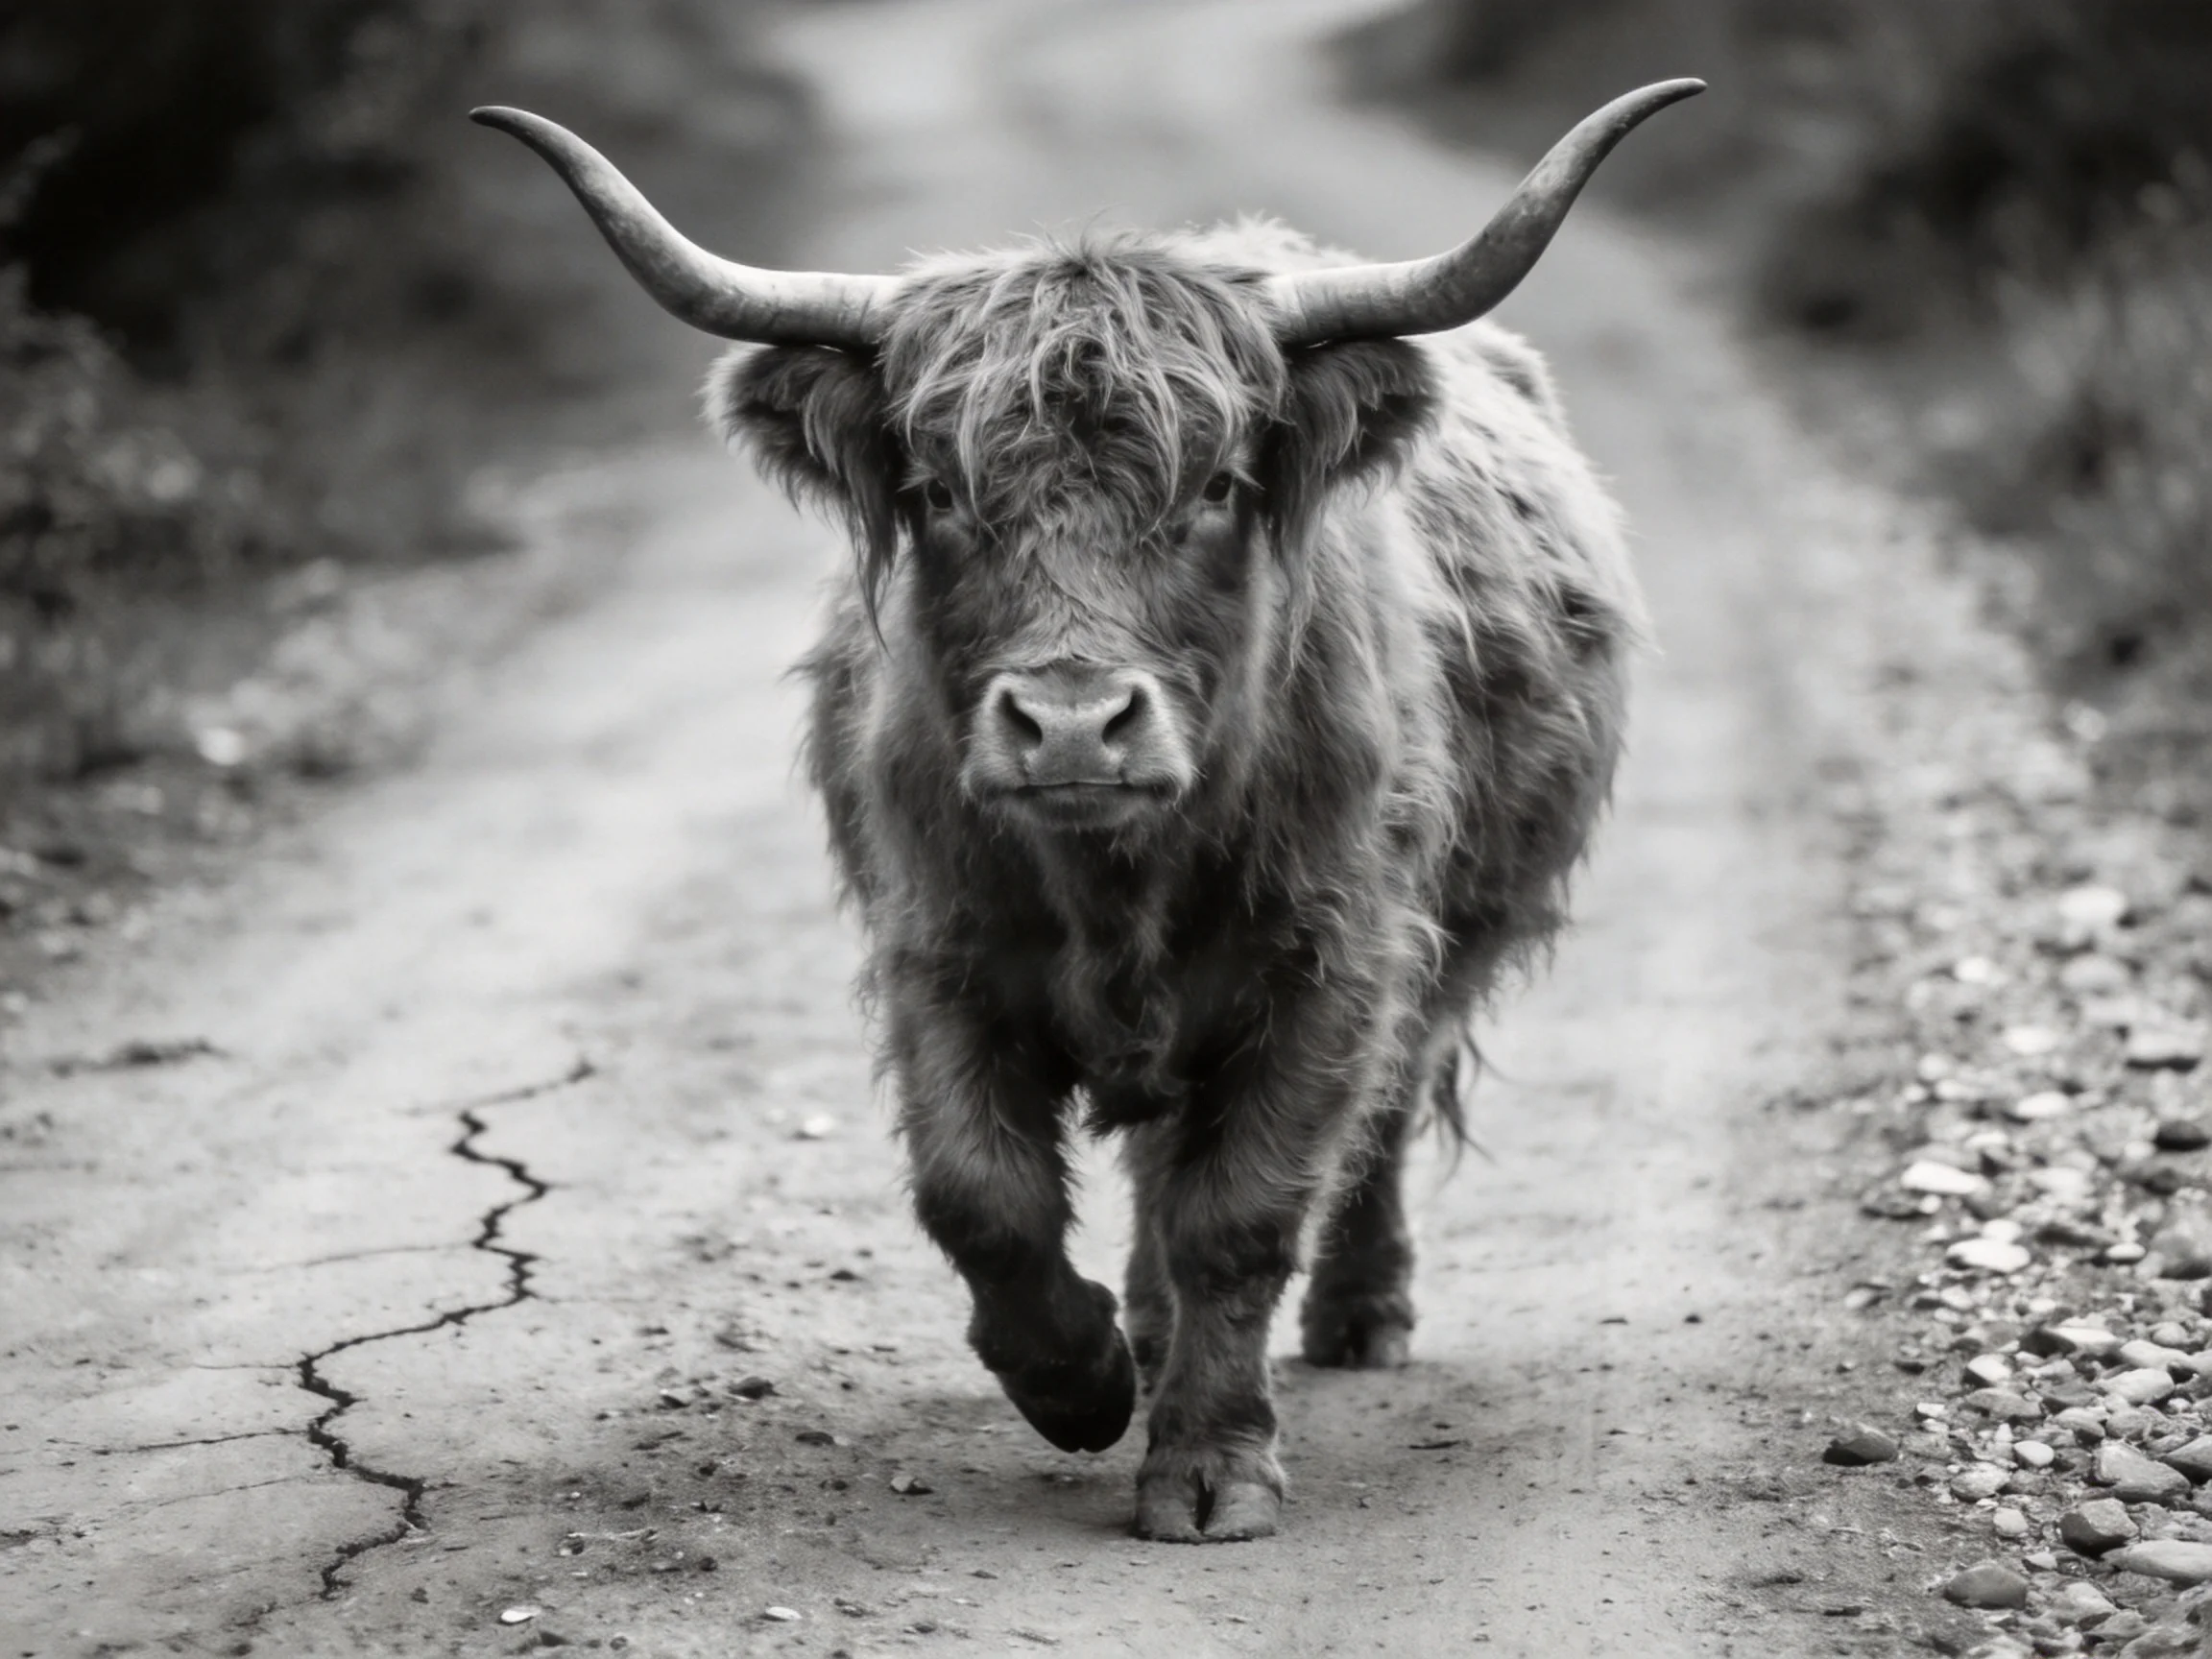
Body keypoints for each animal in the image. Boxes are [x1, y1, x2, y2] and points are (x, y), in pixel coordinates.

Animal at [474, 80, 1700, 1542]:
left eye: (1218, 485)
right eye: (942, 493)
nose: (1069, 722)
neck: (1117, 880)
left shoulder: (1334, 961)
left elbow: (1244, 1212)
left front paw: (1212, 1467)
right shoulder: (936, 950)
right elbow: (983, 1198)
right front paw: (1084, 1380)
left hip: (1441, 944)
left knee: (1378, 1120)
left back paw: (1360, 1317)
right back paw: (1151, 1334)